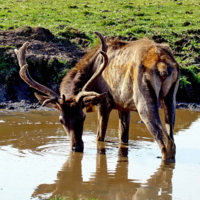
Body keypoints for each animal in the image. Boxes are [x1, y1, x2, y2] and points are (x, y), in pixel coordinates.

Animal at [14, 31, 179, 162]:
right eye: (61, 120)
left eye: (83, 117)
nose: (77, 147)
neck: (92, 66)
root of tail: (162, 65)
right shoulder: (123, 105)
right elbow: (123, 140)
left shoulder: (105, 101)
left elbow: (99, 137)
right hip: (171, 99)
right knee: (172, 137)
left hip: (143, 99)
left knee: (166, 142)